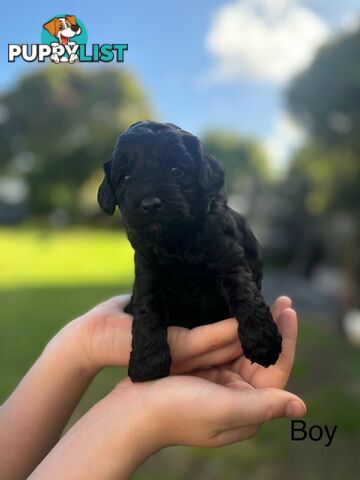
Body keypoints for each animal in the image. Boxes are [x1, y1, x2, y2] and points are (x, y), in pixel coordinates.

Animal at [97, 121, 282, 382]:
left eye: (176, 170)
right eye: (125, 178)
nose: (150, 204)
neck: (178, 243)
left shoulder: (229, 260)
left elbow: (245, 292)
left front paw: (263, 341)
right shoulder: (147, 276)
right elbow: (145, 311)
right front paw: (147, 364)